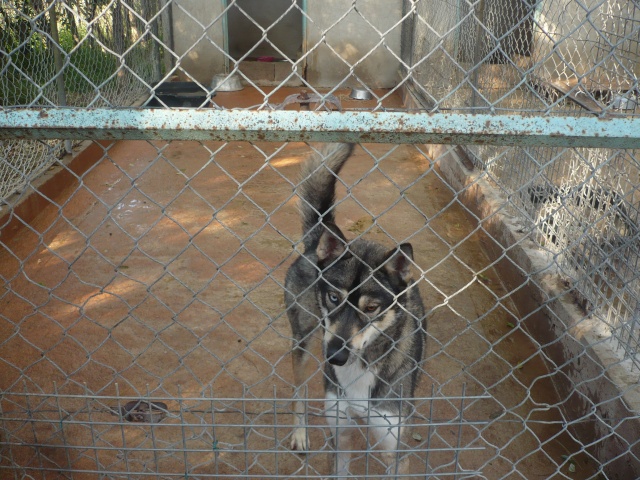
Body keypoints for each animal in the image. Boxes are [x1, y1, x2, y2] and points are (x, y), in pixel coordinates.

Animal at [284, 142, 424, 476]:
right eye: (334, 298)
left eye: (371, 307)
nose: (335, 357)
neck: (360, 367)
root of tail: (317, 243)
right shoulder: (340, 433)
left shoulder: (395, 451)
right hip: (302, 339)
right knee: (298, 389)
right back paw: (300, 433)